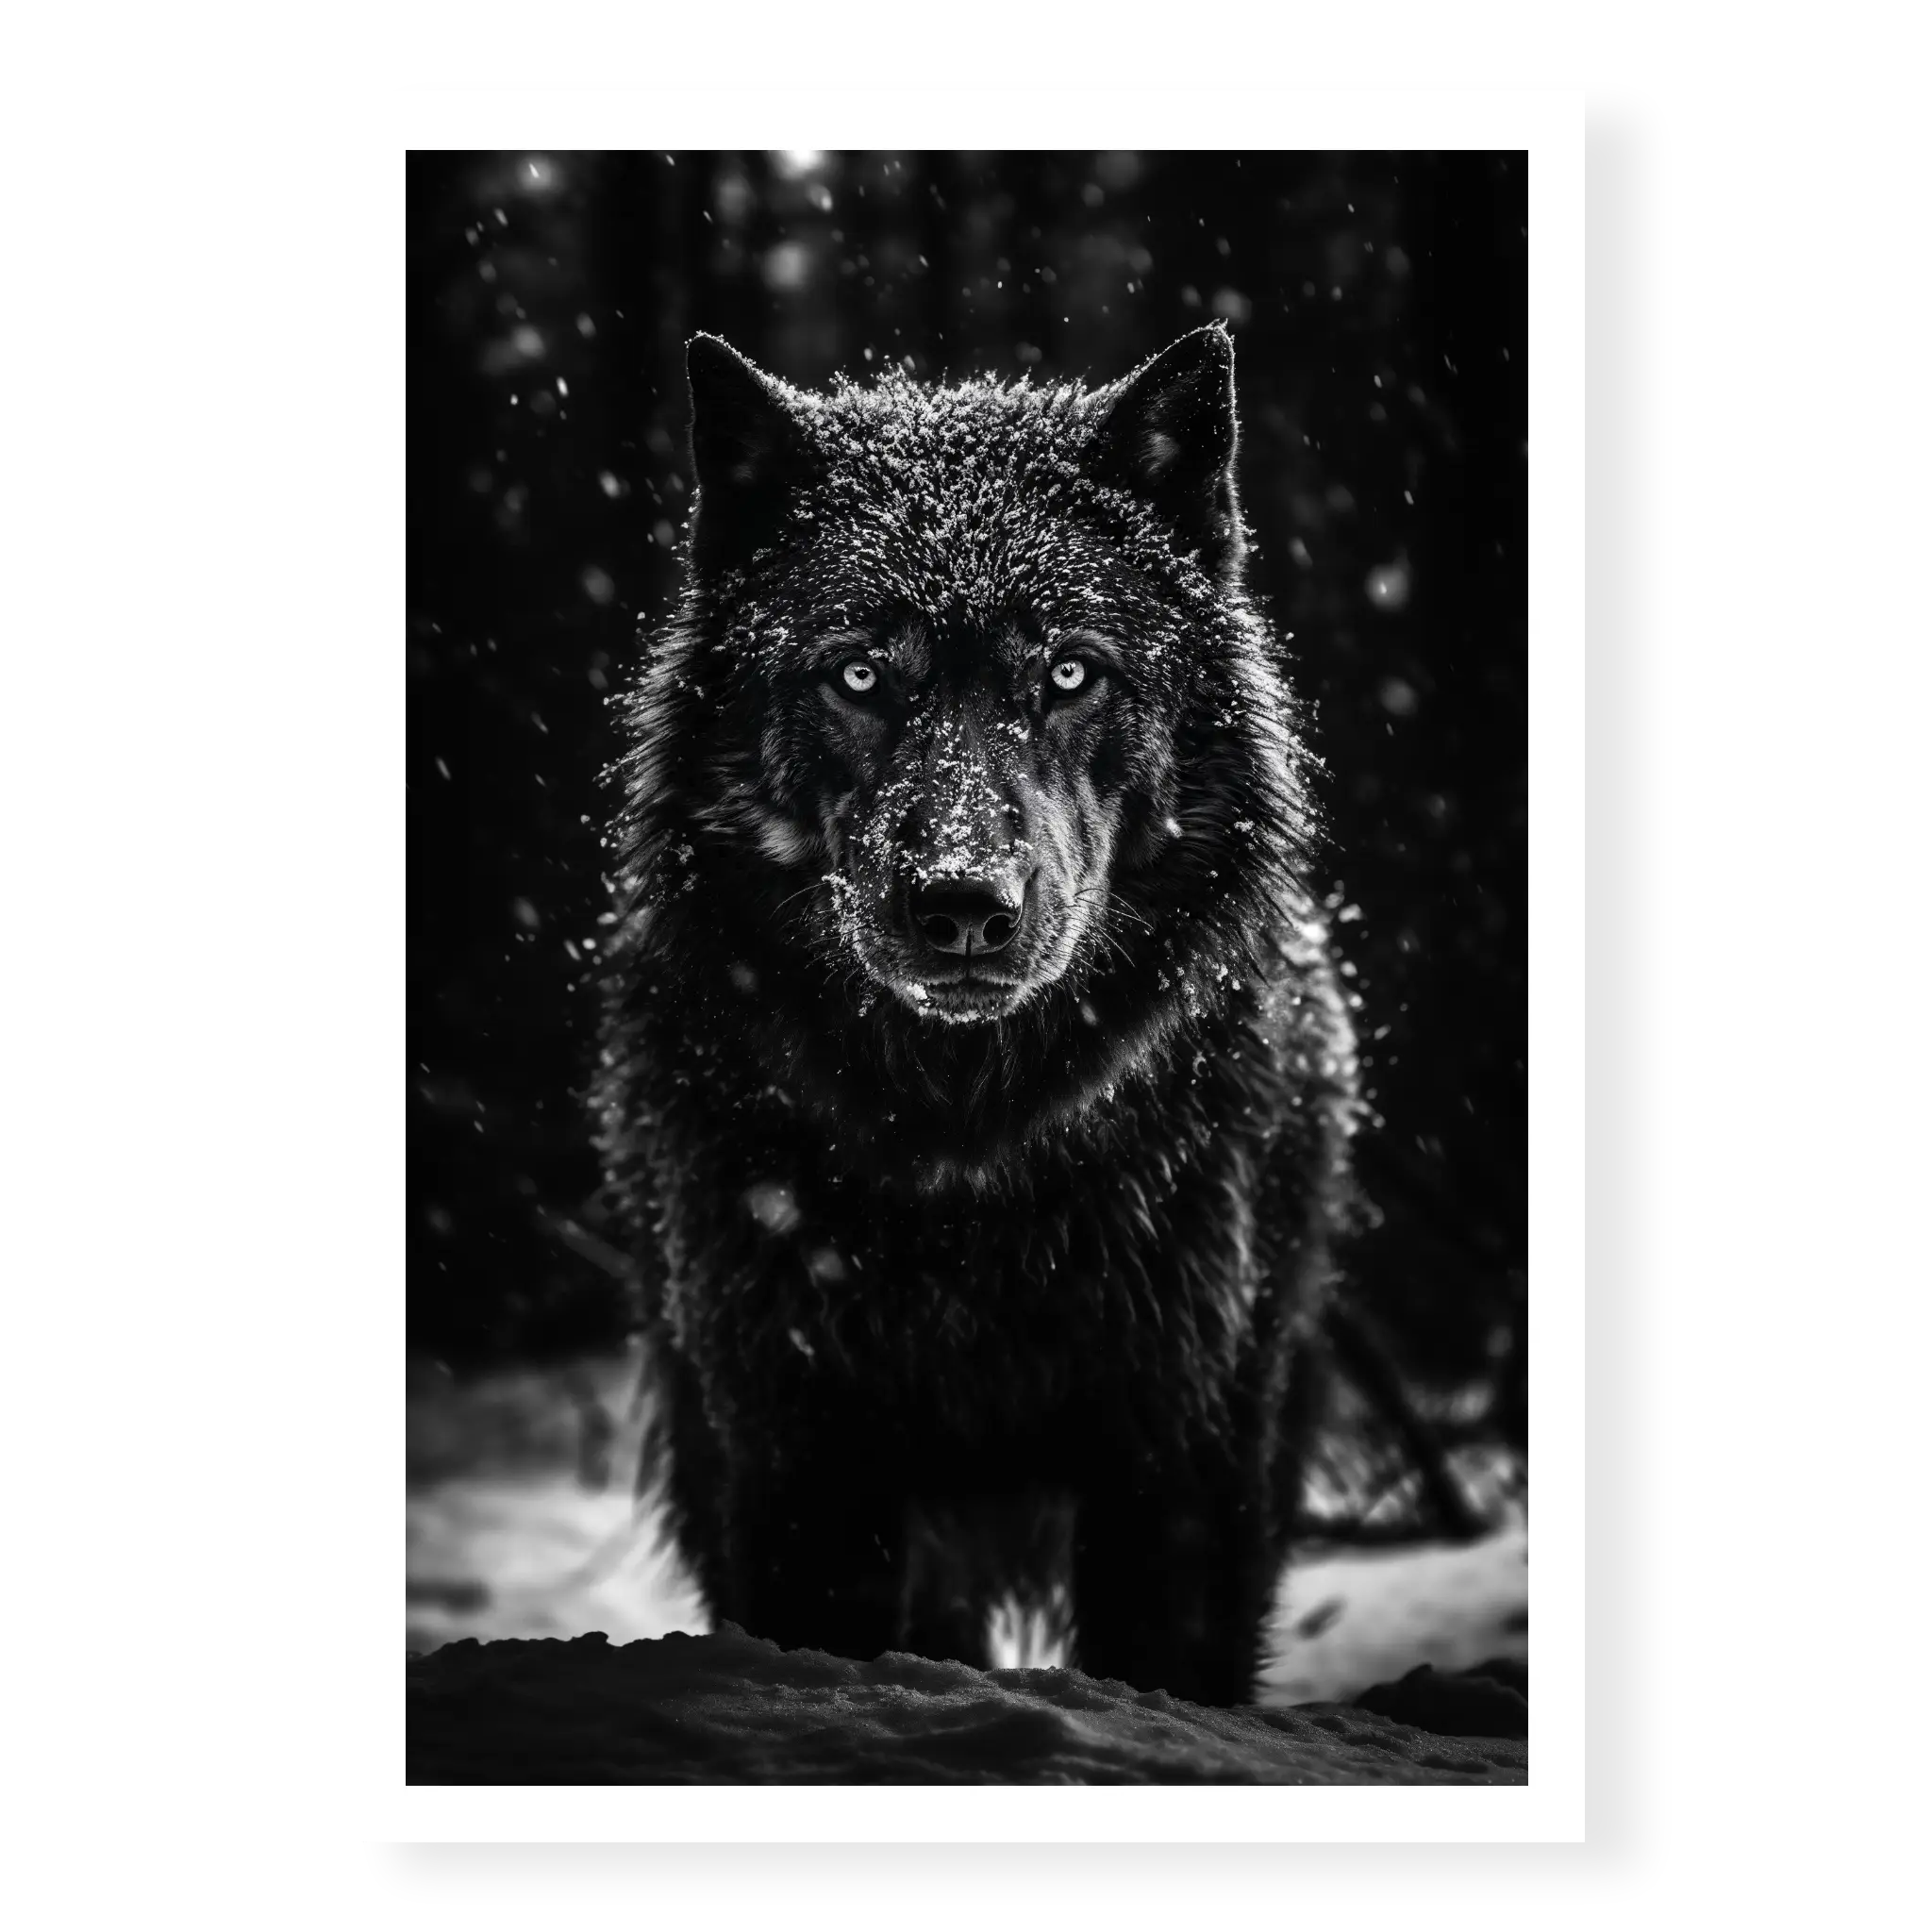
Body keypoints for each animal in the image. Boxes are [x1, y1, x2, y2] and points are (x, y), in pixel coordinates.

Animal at [594, 324, 1363, 1706]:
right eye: (858, 674)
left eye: (1067, 672)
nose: (961, 904)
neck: (967, 1162)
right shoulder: (795, 1449)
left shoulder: (1180, 1449)